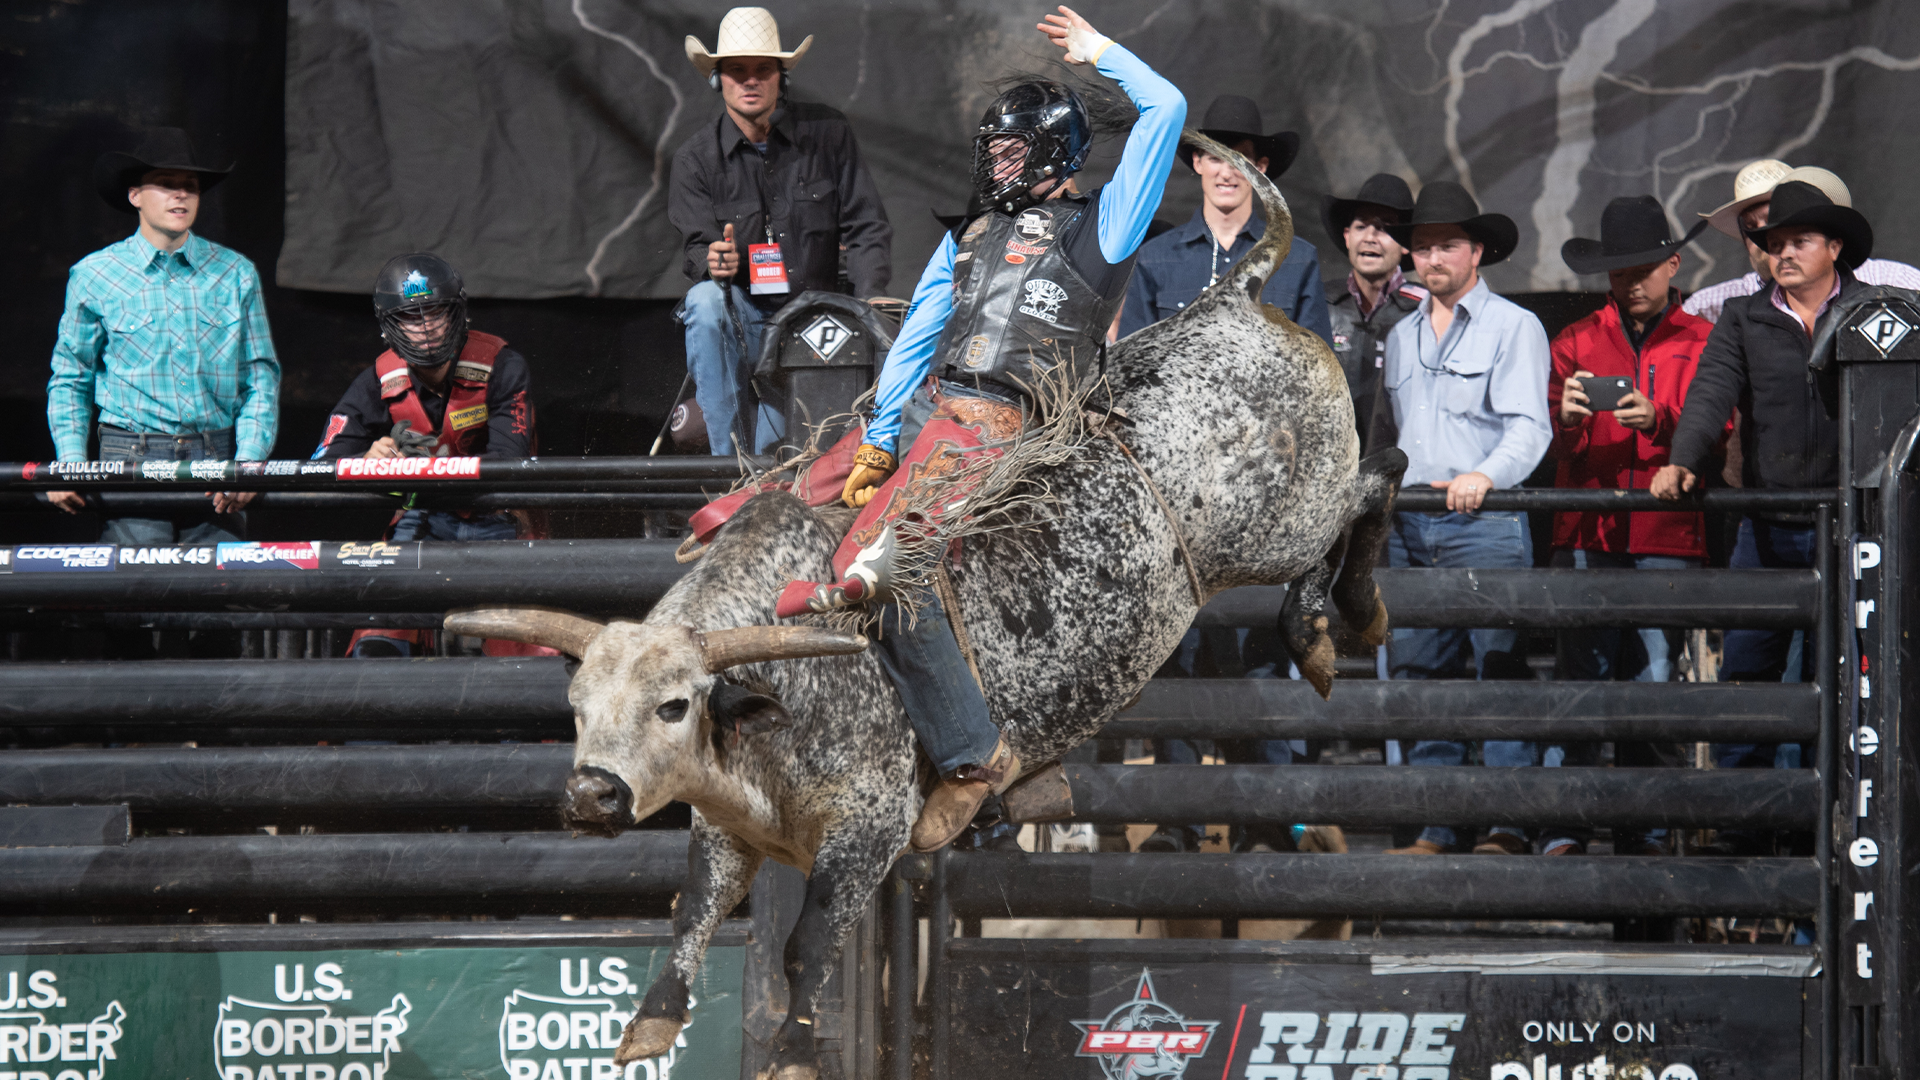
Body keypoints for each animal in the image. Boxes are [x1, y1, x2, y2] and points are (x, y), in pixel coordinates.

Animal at [449, 130, 1413, 1076]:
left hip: (1281, 523)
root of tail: (1233, 300)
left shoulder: (867, 834)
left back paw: (1332, 622)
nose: (591, 796)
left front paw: (793, 1052)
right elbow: (694, 912)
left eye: (673, 705)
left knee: (1377, 478)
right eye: (576, 706)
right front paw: (652, 1022)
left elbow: (805, 947)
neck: (785, 681)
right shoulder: (730, 825)